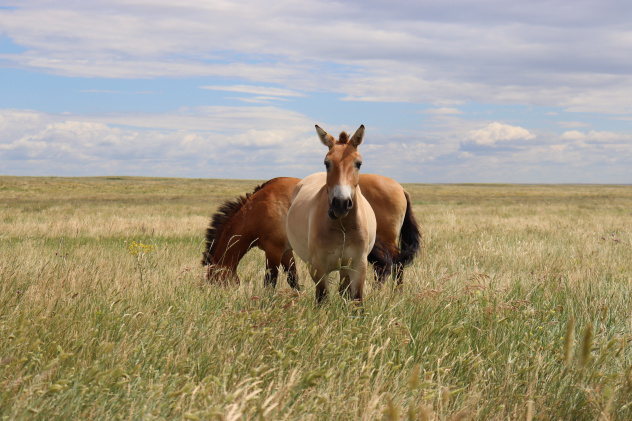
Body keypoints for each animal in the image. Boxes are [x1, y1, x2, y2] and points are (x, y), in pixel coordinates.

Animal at [286, 124, 376, 302]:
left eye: (358, 163)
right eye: (326, 163)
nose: (340, 204)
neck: (343, 226)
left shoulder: (358, 266)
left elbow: (356, 299)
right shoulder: (319, 267)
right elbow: (322, 299)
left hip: (345, 267)